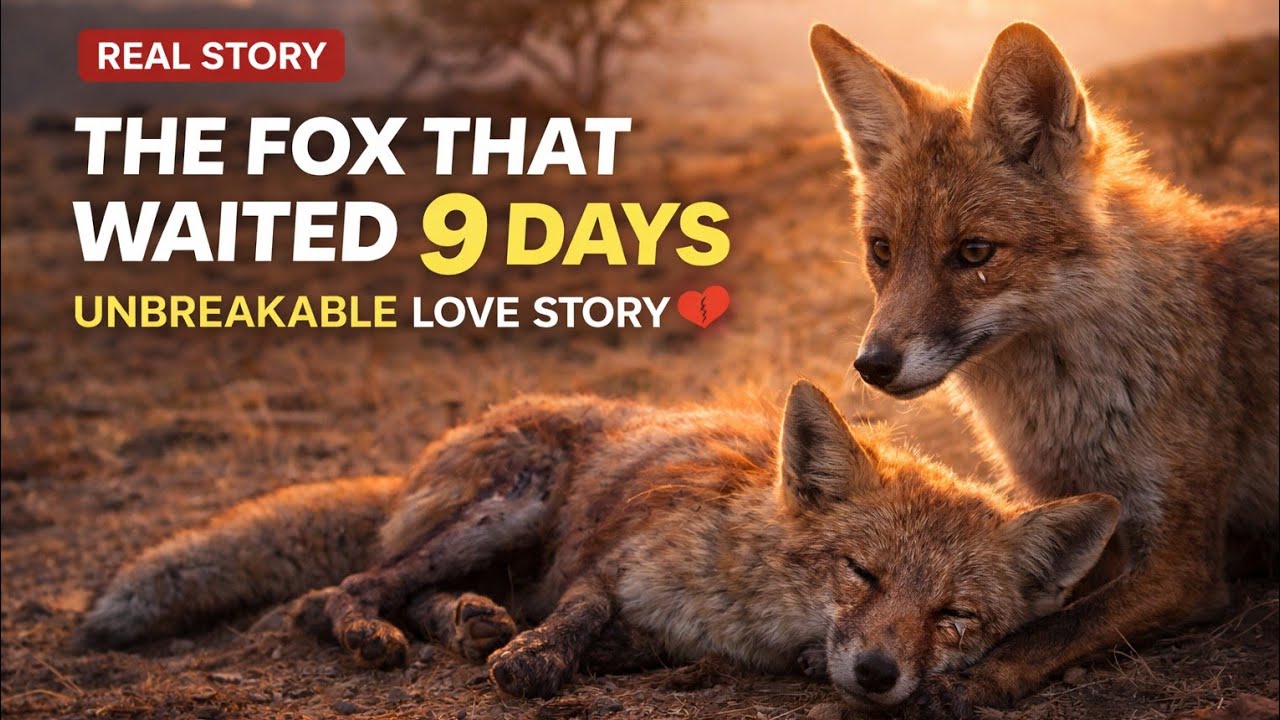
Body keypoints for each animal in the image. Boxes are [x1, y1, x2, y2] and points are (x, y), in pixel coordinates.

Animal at [76, 381, 1119, 711]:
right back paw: (391, 632)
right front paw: (538, 659)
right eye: (860, 572)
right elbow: (579, 608)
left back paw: (468, 620)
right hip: (515, 505)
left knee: (406, 589)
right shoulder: (612, 557)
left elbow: (624, 636)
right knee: (341, 590)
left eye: (957, 616)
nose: (874, 675)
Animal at [809, 20, 1279, 717]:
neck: (1067, 417)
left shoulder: (1184, 561)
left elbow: (1051, 626)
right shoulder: (1064, 511)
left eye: (975, 252)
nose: (873, 365)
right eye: (882, 251)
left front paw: (971, 678)